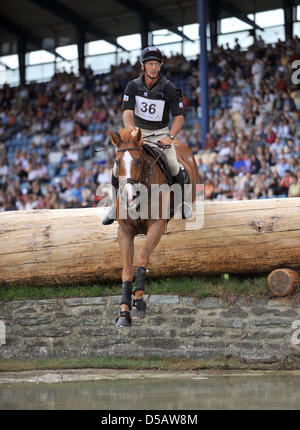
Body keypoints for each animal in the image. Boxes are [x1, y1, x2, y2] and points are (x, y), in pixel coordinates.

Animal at [110, 126, 199, 328]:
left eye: (138, 160)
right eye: (118, 162)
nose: (129, 198)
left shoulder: (157, 225)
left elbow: (142, 257)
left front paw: (139, 304)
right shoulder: (124, 231)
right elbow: (126, 268)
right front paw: (123, 313)